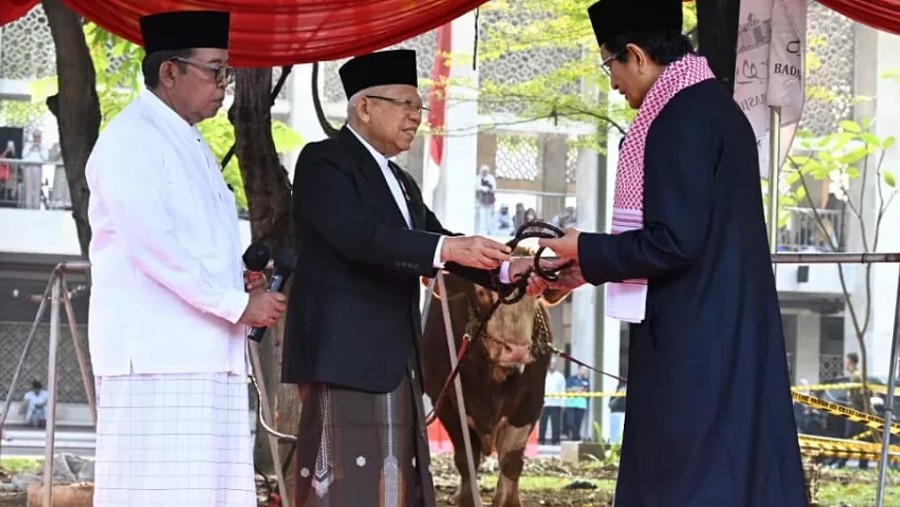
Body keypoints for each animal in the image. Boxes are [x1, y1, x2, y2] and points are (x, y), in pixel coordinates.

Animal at [422, 270, 568, 507]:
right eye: (482, 292)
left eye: (537, 295)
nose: (516, 351)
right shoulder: (444, 401)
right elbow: (466, 457)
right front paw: (467, 499)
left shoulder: (531, 401)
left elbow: (511, 459)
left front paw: (508, 500)